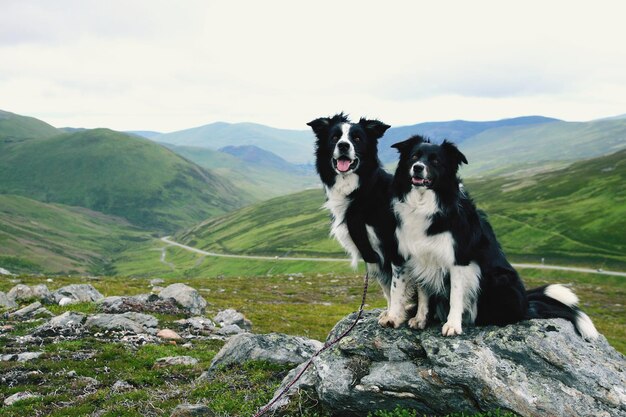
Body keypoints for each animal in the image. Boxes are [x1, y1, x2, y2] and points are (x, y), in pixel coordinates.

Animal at [306, 112, 400, 310]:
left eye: (357, 138)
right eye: (334, 137)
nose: (343, 145)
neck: (360, 192)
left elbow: (397, 289)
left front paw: (396, 315)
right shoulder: (372, 255)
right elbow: (387, 288)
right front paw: (388, 313)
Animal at [382, 135, 596, 340]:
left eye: (435, 161)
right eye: (414, 157)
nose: (418, 168)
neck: (426, 203)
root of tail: (526, 304)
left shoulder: (458, 260)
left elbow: (455, 295)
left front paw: (452, 325)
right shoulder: (418, 256)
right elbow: (422, 292)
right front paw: (418, 318)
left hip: (499, 280)